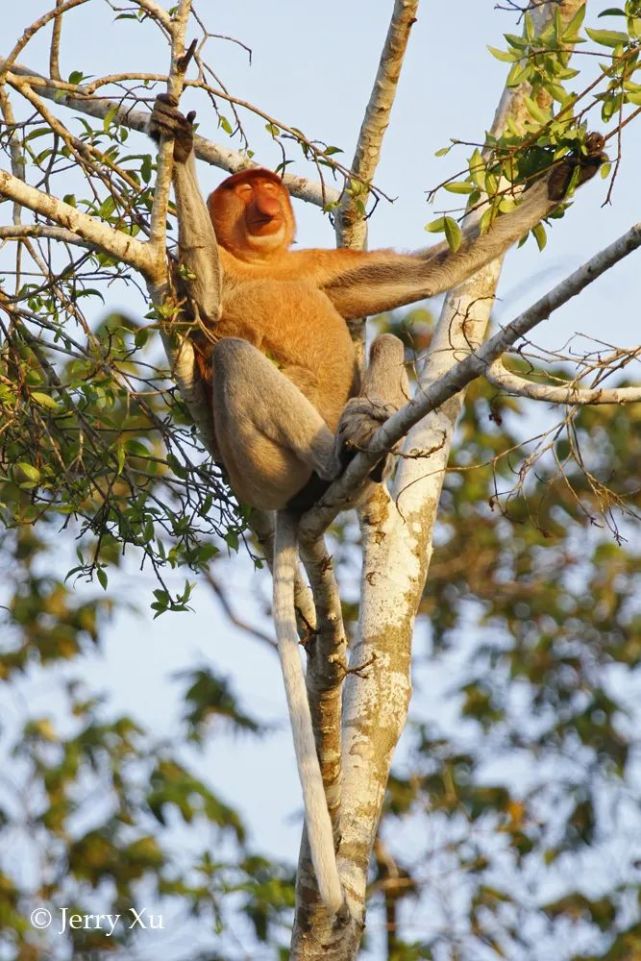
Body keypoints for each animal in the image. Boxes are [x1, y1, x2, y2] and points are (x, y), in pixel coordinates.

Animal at [148, 97, 604, 916]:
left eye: (269, 185)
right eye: (245, 186)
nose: (266, 202)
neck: (262, 260)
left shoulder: (313, 270)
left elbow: (426, 275)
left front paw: (564, 174)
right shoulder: (194, 273)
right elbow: (207, 301)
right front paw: (175, 140)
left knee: (385, 339)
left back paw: (368, 441)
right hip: (261, 467)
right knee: (232, 356)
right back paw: (337, 461)